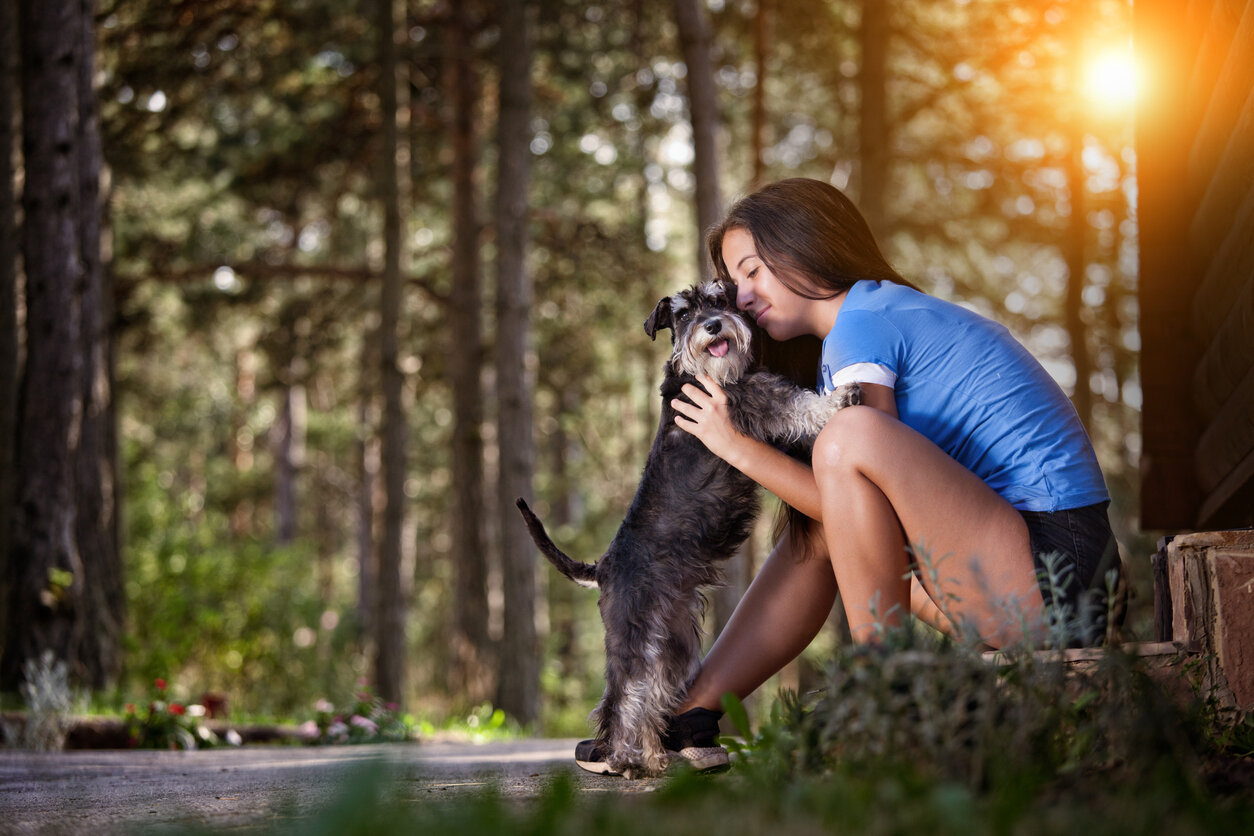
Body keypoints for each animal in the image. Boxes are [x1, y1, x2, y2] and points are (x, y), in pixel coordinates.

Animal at [514, 279, 857, 777]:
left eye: (718, 299)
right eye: (680, 314)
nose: (712, 325)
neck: (703, 374)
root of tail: (602, 568)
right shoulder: (755, 401)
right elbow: (797, 404)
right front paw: (839, 398)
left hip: (671, 641)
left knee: (651, 695)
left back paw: (653, 757)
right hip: (637, 635)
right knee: (623, 698)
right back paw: (626, 761)